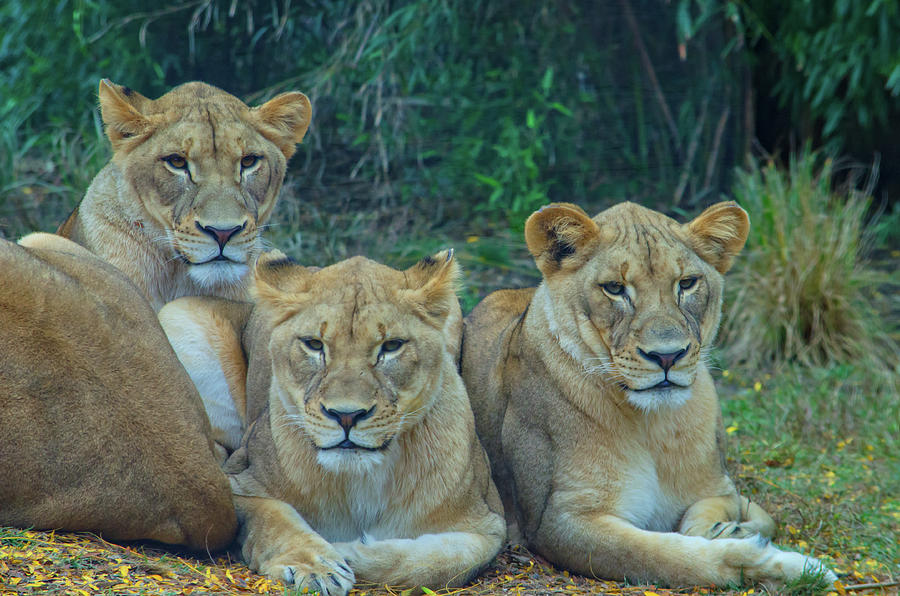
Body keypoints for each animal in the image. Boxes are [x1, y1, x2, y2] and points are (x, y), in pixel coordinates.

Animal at [156, 251, 506, 596]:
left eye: (392, 346)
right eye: (314, 344)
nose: (346, 415)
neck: (361, 482)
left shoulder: (489, 522)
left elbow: (443, 561)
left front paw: (350, 550)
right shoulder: (233, 483)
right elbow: (273, 512)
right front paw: (314, 565)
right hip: (178, 313)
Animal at [460, 200, 840, 588]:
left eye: (686, 283)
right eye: (614, 288)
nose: (667, 356)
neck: (655, 426)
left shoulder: (717, 488)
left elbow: (716, 516)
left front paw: (725, 530)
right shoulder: (557, 521)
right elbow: (665, 556)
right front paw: (785, 565)